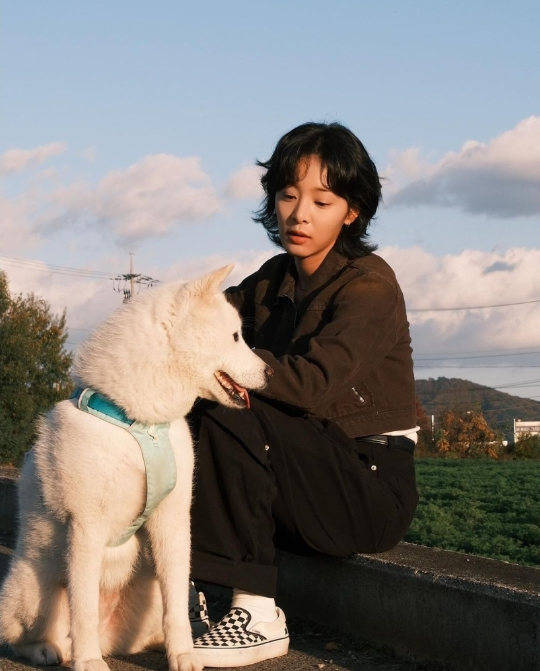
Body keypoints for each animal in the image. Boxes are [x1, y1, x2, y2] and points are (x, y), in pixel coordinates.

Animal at [0, 266, 270, 671]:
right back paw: (53, 650)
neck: (140, 424)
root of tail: (111, 639)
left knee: (159, 616)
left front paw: (183, 654)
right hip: (35, 589)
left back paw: (159, 643)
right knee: (26, 637)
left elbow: (177, 610)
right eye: (237, 336)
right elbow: (82, 610)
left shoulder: (173, 521)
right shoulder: (85, 526)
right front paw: (89, 662)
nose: (271, 373)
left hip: (148, 590)